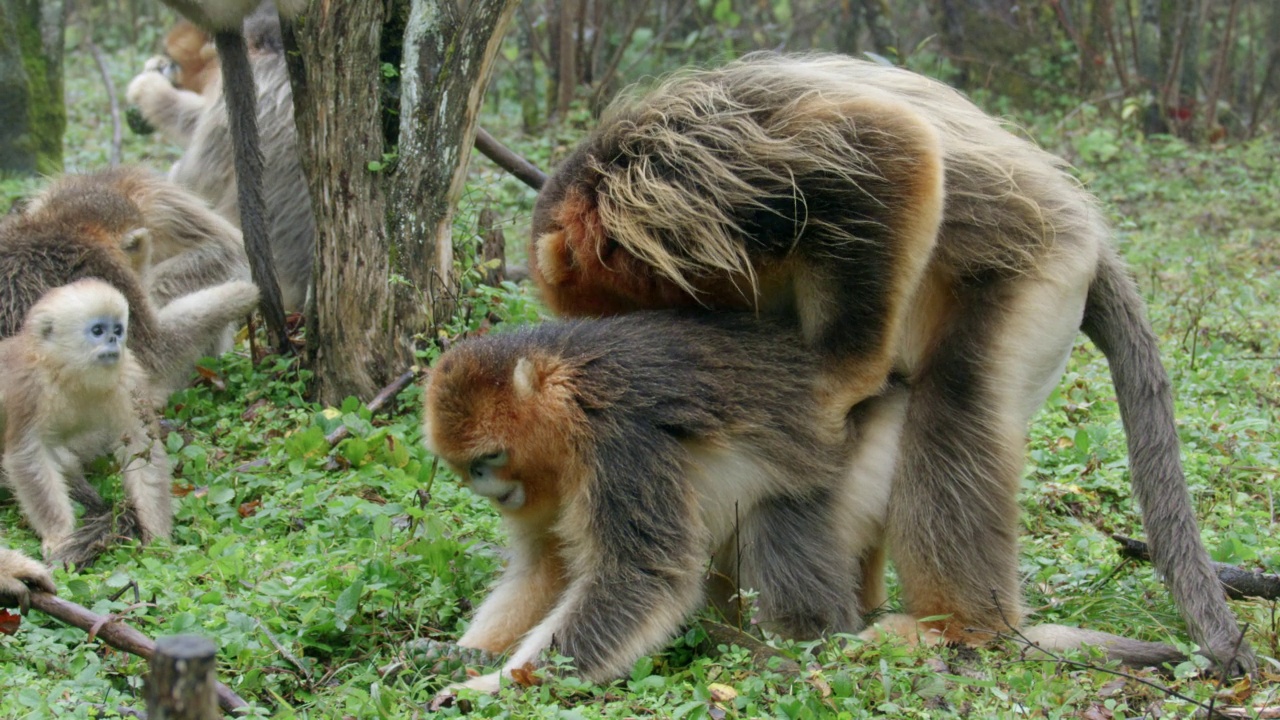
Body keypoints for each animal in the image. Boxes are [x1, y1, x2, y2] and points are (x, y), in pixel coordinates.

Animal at [524, 51, 1254, 671]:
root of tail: (1092, 238)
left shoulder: (688, 172)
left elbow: (891, 146)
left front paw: (833, 384)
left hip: (1043, 273)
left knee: (956, 403)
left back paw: (958, 627)